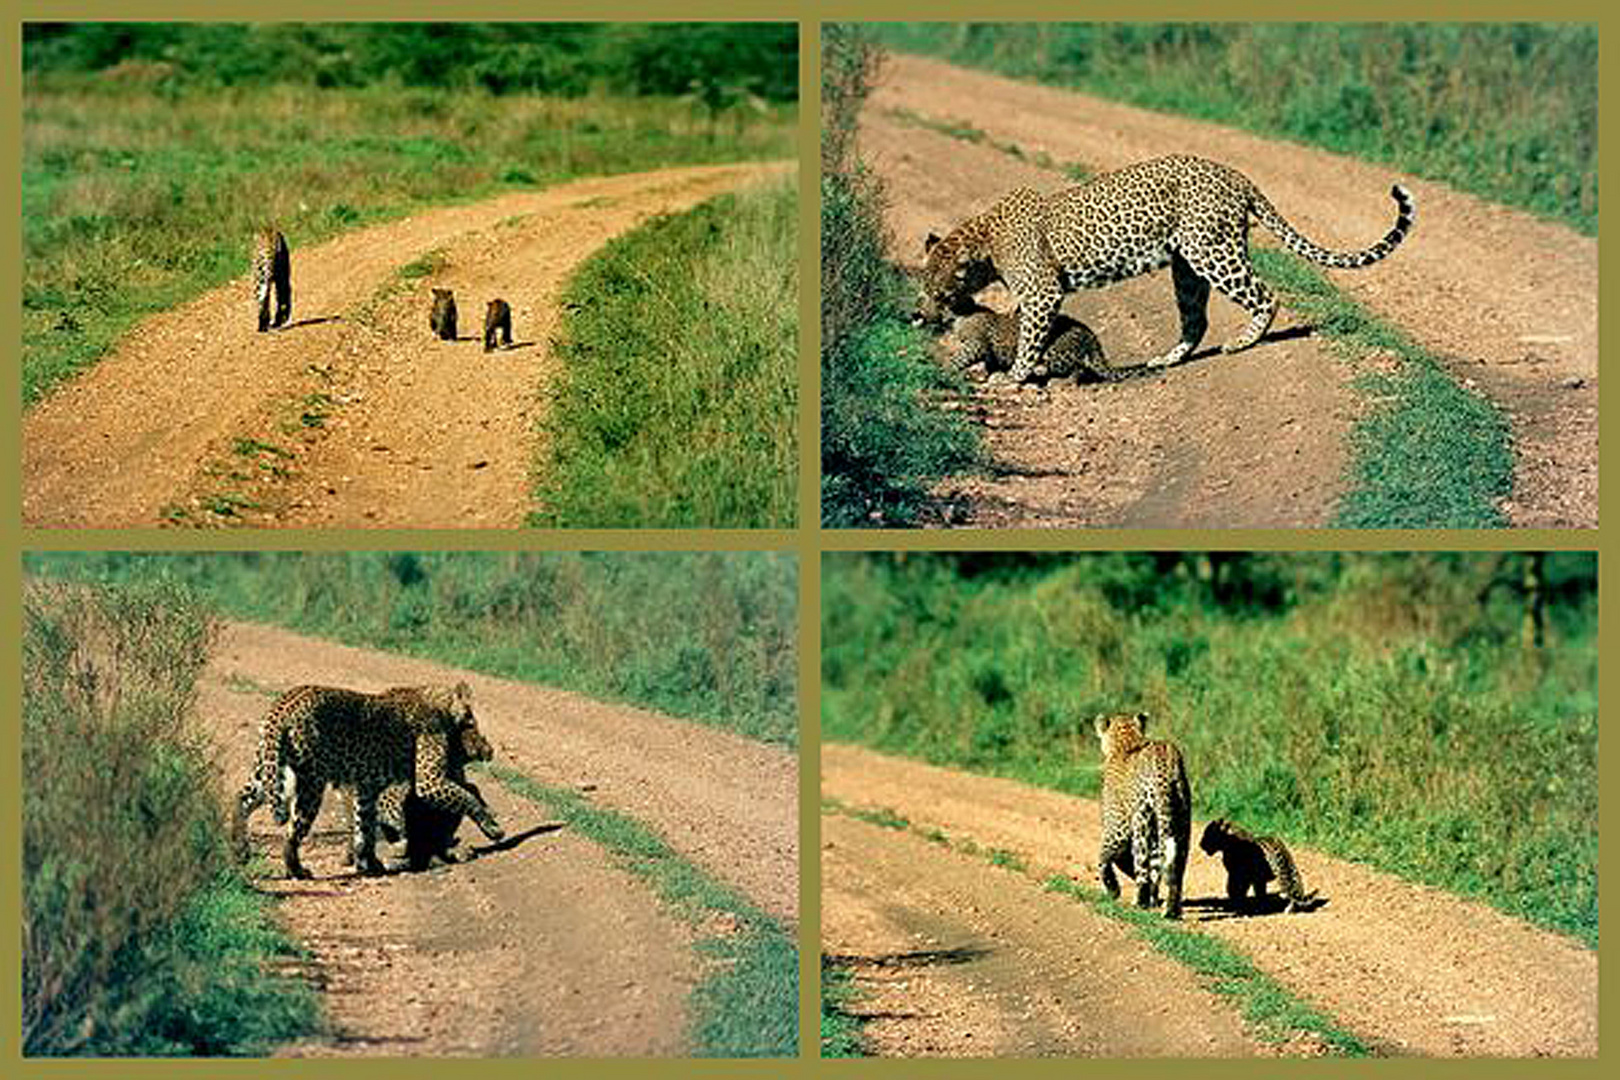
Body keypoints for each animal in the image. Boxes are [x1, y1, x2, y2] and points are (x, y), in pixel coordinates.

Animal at [231, 683, 502, 880]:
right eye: (471, 717)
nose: (487, 746)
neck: (436, 701)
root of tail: (283, 704)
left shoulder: (366, 788)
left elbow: (365, 828)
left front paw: (369, 864)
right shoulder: (429, 781)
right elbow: (467, 797)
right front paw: (492, 826)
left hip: (268, 769)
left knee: (241, 799)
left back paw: (239, 849)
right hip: (310, 783)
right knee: (292, 831)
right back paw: (296, 870)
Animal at [939, 302, 1114, 386]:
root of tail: (1089, 334)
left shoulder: (976, 344)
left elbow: (959, 358)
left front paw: (942, 369)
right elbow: (990, 364)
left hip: (1054, 352)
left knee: (1078, 368)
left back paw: (1060, 381)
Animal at [1095, 709, 1198, 919]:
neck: (1126, 741)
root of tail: (1167, 761)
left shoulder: (1117, 828)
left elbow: (1103, 858)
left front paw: (1113, 889)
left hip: (1141, 821)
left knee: (1143, 867)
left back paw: (1140, 902)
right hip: (1181, 823)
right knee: (1174, 871)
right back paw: (1171, 909)